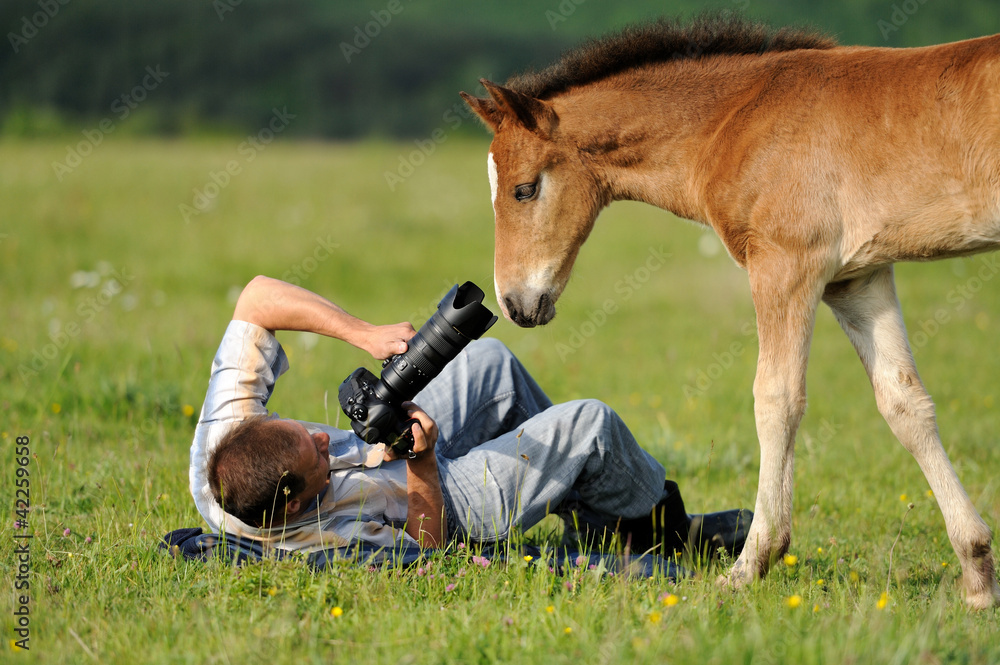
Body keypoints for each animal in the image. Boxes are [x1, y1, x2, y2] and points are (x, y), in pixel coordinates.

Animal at [464, 15, 1000, 608]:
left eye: (524, 189)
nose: (514, 303)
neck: (736, 121)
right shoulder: (858, 277)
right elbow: (904, 402)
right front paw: (978, 574)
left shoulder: (786, 263)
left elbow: (777, 400)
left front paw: (751, 565)